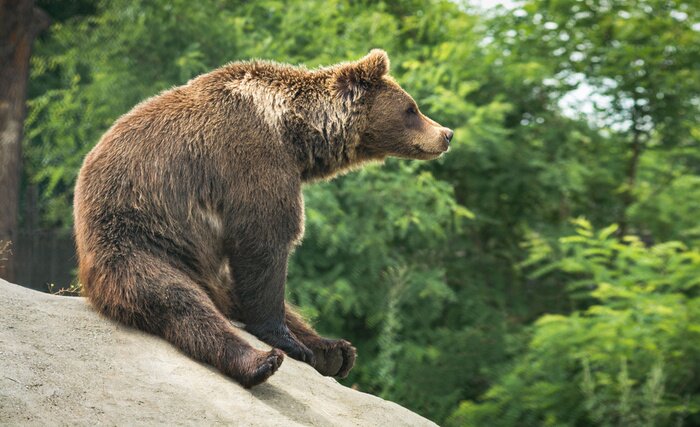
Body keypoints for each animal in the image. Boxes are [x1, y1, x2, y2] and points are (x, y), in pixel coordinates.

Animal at [73, 49, 453, 388]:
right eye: (412, 109)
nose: (446, 134)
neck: (294, 134)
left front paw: (313, 345)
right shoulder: (252, 159)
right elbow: (265, 242)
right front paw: (282, 340)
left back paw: (335, 350)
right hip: (141, 239)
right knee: (178, 300)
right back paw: (261, 361)